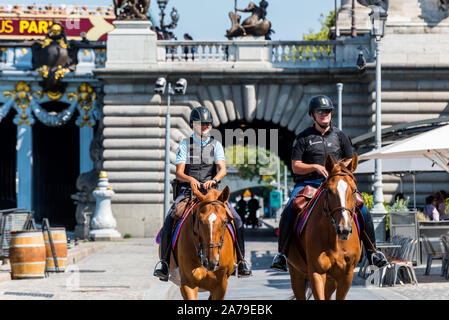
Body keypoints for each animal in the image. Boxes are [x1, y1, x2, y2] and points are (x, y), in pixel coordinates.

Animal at [288, 154, 360, 298]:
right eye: (330, 191)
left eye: (354, 190)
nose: (343, 230)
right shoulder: (316, 273)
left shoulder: (346, 276)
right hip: (296, 273)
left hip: (331, 280)